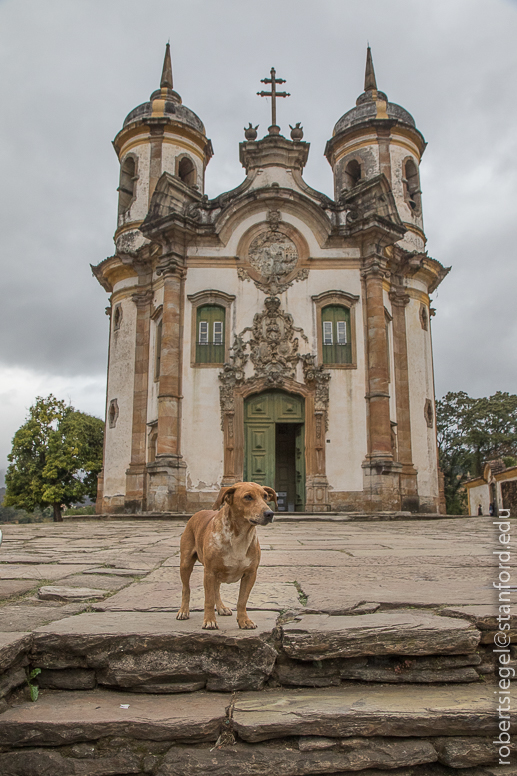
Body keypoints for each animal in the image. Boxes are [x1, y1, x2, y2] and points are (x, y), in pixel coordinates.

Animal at [175, 482, 276, 628]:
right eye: (248, 497)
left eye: (265, 496)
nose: (270, 513)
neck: (240, 536)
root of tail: (199, 512)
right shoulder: (209, 572)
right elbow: (208, 600)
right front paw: (209, 620)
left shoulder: (250, 574)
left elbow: (242, 601)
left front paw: (244, 620)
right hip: (186, 563)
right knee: (186, 588)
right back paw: (183, 611)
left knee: (216, 589)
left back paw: (222, 607)